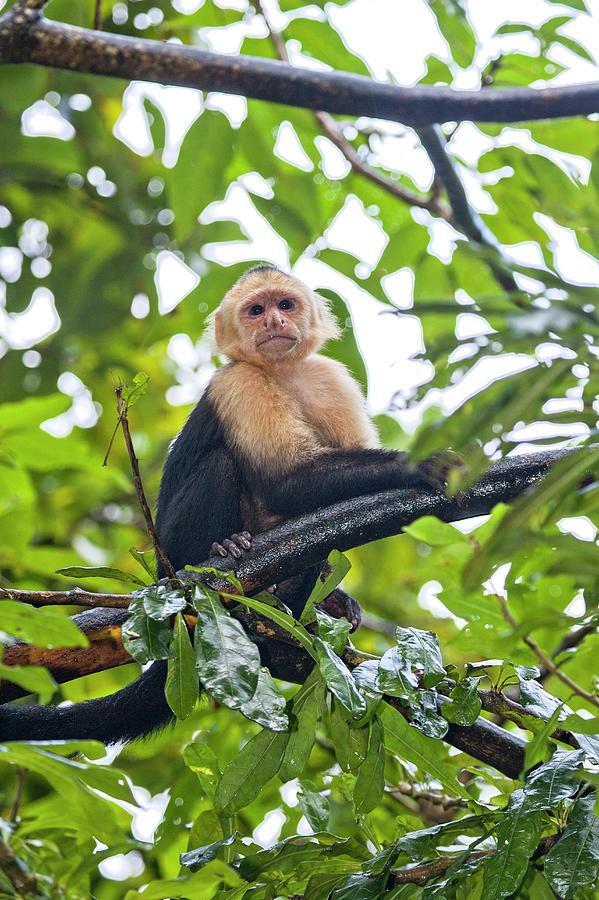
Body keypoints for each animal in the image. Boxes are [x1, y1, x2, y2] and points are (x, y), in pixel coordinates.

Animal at [0, 264, 450, 740]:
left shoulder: (331, 378)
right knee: (220, 463)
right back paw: (222, 551)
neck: (281, 373)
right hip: (170, 551)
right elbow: (287, 480)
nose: (274, 322)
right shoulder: (238, 383)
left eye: (285, 304)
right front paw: (418, 466)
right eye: (255, 311)